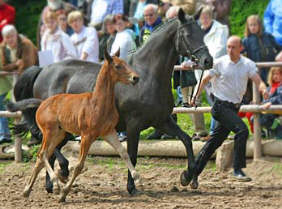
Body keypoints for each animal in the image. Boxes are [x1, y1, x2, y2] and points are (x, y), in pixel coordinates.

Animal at [21, 49, 140, 202]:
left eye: (125, 63)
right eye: (118, 66)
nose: (135, 78)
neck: (98, 103)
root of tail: (41, 104)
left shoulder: (109, 132)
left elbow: (124, 153)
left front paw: (137, 176)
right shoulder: (86, 136)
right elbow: (79, 165)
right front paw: (64, 193)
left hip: (59, 135)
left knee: (42, 157)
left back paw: (27, 190)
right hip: (49, 132)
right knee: (42, 154)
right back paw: (55, 183)